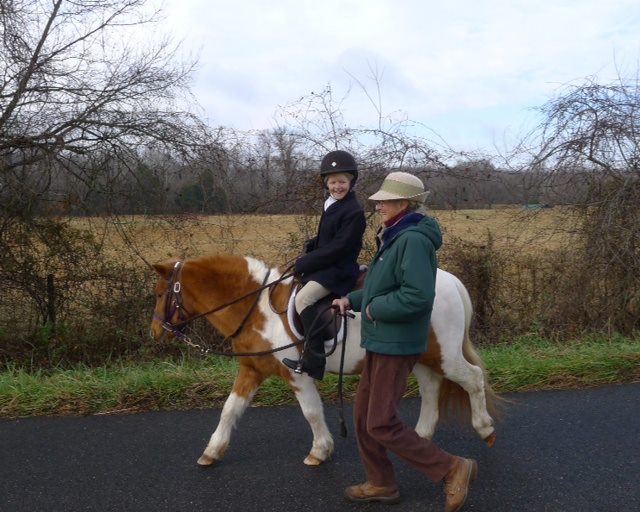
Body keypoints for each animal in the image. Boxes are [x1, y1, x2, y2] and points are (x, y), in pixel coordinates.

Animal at [151, 254, 500, 466]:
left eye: (158, 293)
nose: (155, 333)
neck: (259, 309)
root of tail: (451, 281)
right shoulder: (251, 370)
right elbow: (230, 409)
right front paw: (212, 451)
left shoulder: (297, 374)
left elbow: (311, 412)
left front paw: (319, 451)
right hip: (421, 357)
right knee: (431, 389)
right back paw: (421, 437)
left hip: (445, 355)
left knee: (472, 378)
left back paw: (485, 429)